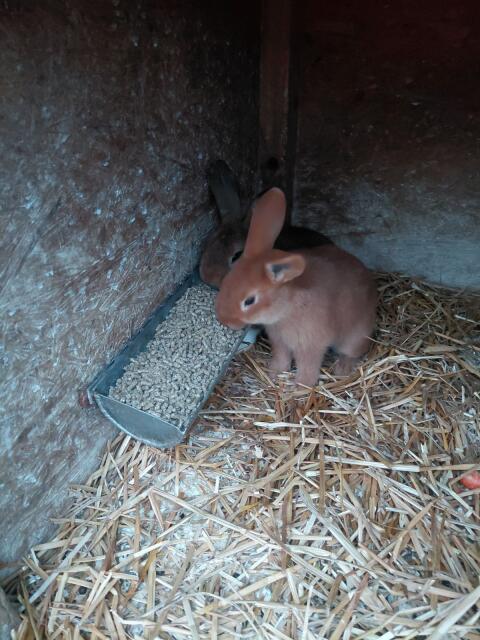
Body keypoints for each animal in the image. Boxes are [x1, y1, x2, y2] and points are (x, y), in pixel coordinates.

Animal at [215, 187, 377, 387]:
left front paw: (301, 386)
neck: (286, 308)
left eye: (249, 300)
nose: (224, 320)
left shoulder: (310, 344)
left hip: (354, 338)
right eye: (226, 281)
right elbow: (281, 357)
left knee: (352, 353)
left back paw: (342, 369)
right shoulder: (279, 341)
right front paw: (274, 373)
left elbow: (308, 367)